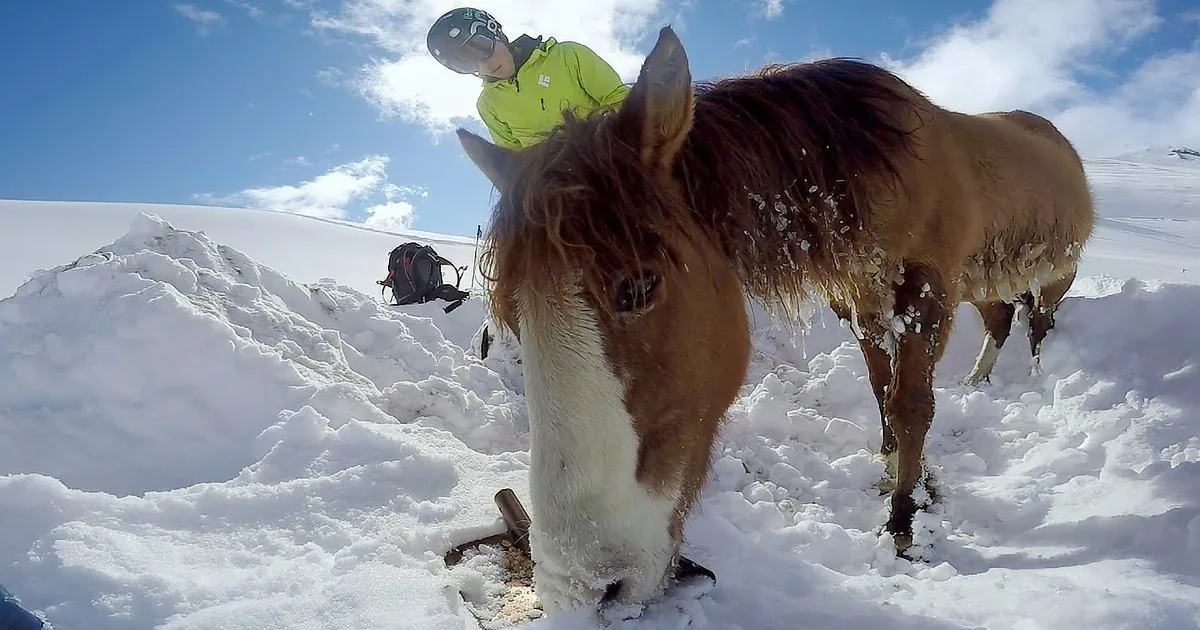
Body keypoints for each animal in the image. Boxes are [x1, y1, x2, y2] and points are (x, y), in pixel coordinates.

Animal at [455, 25, 1095, 614]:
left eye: (637, 288)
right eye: (513, 318)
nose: (584, 588)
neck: (862, 164)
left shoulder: (925, 292)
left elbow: (912, 405)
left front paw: (902, 522)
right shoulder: (860, 295)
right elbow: (880, 389)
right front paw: (892, 468)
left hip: (1051, 275)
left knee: (1037, 324)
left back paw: (1035, 379)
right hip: (985, 282)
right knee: (1001, 319)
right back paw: (979, 378)